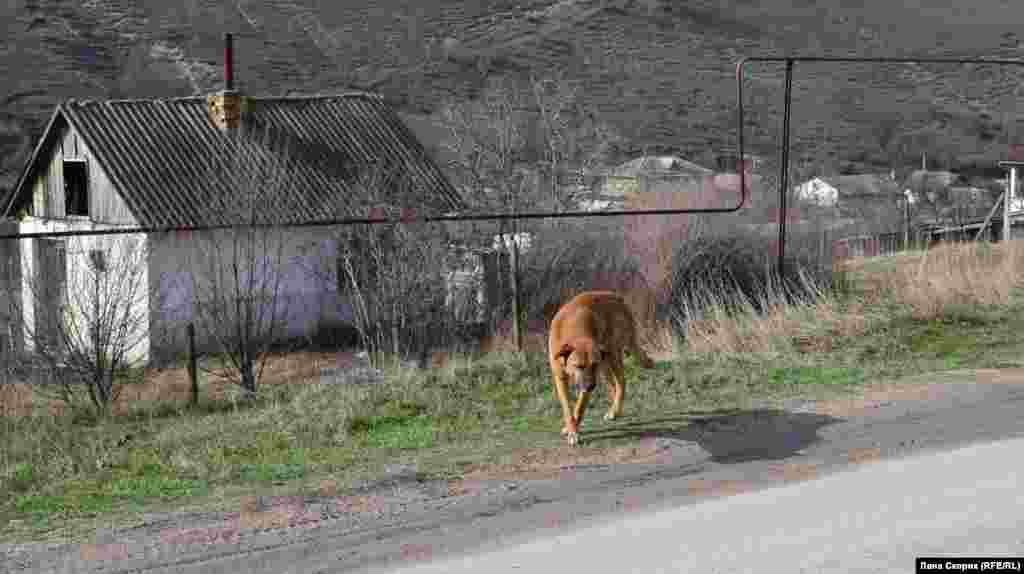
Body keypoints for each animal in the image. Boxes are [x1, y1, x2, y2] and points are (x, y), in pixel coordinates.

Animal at [544, 290, 655, 448]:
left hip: (611, 357)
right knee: (613, 386)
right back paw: (615, 410)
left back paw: (614, 411)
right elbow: (567, 409)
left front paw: (574, 431)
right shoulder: (560, 379)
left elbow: (579, 408)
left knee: (621, 382)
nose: (591, 387)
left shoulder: (587, 384)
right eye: (579, 366)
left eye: (593, 364)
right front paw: (571, 428)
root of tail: (618, 298)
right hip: (604, 367)